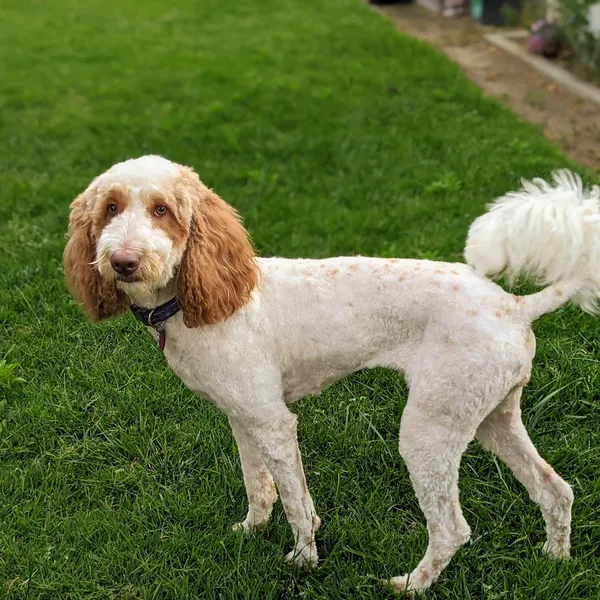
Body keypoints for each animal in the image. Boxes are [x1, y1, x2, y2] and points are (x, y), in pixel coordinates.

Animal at [63, 155, 596, 592]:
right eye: (110, 208)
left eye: (162, 210)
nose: (122, 262)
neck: (210, 297)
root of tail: (516, 306)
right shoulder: (243, 417)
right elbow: (258, 485)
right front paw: (250, 531)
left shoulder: (275, 424)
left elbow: (296, 501)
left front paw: (303, 559)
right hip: (491, 416)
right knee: (556, 490)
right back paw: (555, 560)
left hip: (430, 429)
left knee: (452, 528)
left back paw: (412, 583)